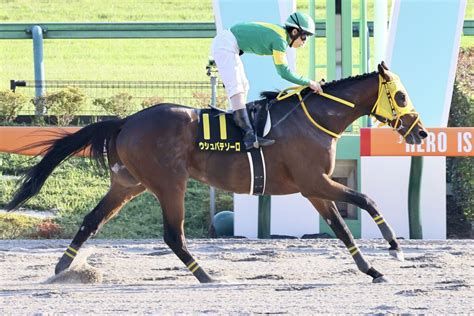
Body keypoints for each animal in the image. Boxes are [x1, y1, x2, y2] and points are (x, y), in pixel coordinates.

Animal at [5, 62, 428, 284]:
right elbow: (366, 199)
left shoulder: (315, 189)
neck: (316, 119)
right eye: (401, 96)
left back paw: (63, 267)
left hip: (129, 183)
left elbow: (341, 229)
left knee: (92, 220)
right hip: (169, 183)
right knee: (173, 235)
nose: (421, 132)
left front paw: (372, 269)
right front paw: (395, 247)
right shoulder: (314, 181)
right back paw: (205, 275)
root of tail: (126, 121)